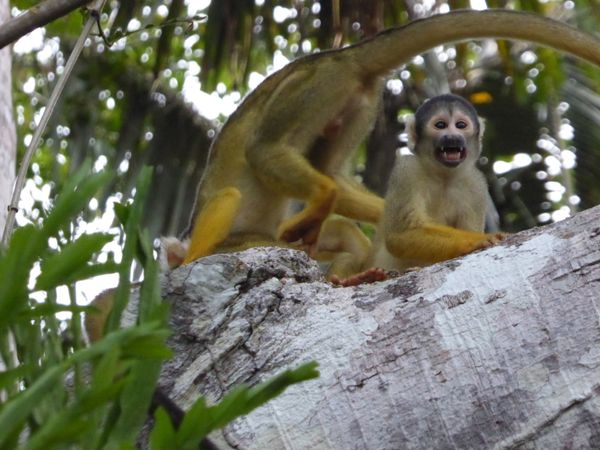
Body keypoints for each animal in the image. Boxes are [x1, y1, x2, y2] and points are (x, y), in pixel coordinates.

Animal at [184, 8, 600, 266]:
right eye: (441, 127)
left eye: (460, 127)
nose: (452, 138)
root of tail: (343, 55)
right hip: (343, 92)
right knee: (301, 162)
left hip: (321, 85)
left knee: (266, 149)